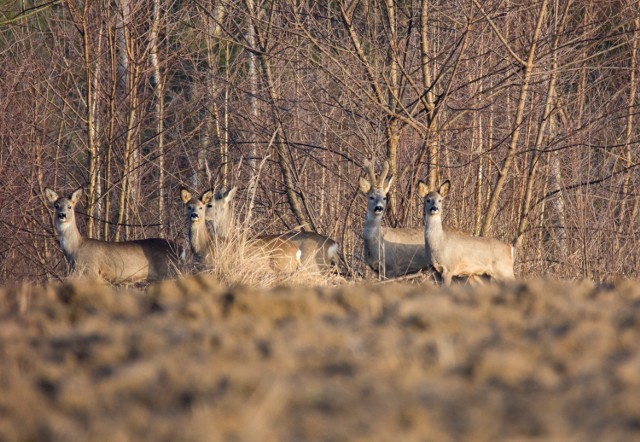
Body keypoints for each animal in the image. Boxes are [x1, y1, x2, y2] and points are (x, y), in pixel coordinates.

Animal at [44, 186, 180, 284]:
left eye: (69, 207)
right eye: (56, 206)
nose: (62, 215)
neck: (74, 250)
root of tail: (179, 248)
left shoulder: (91, 271)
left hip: (168, 272)